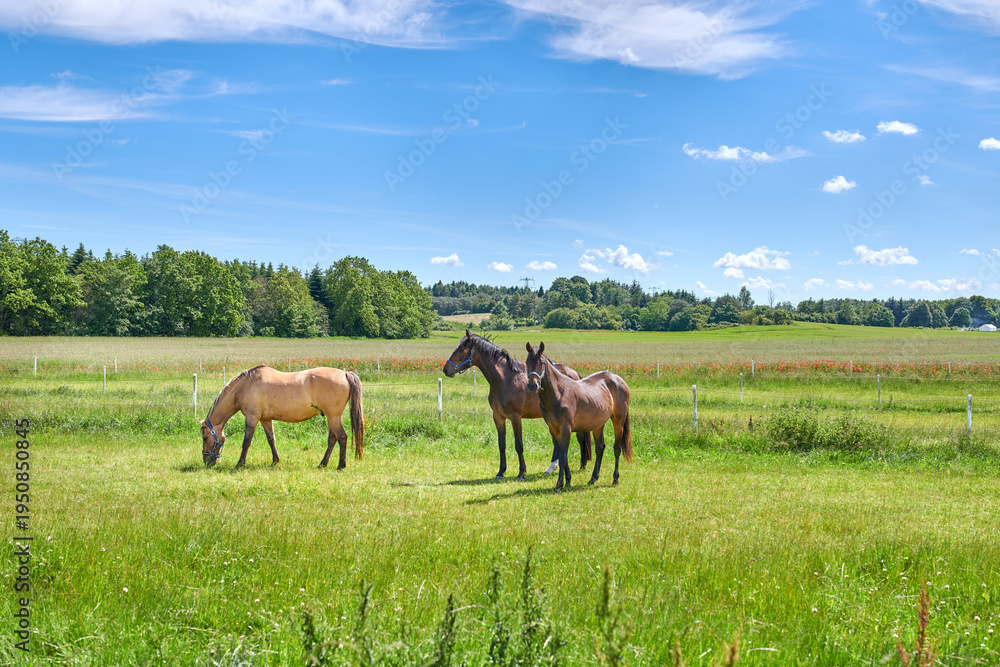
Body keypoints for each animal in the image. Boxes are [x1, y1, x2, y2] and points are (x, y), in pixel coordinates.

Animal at [198, 365, 364, 470]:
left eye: (205, 438)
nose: (206, 461)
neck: (245, 386)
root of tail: (345, 374)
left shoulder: (252, 418)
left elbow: (246, 442)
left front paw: (240, 463)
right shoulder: (265, 419)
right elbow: (271, 439)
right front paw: (275, 461)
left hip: (333, 417)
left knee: (342, 437)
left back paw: (341, 465)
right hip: (330, 417)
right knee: (332, 439)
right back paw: (322, 464)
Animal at [443, 330, 592, 480]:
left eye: (462, 349)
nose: (446, 369)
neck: (505, 379)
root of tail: (574, 374)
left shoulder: (516, 418)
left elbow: (518, 445)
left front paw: (521, 472)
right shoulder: (498, 417)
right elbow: (501, 444)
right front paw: (501, 472)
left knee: (580, 438)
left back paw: (582, 465)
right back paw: (552, 467)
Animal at [524, 342, 632, 491]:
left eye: (541, 362)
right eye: (527, 361)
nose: (532, 385)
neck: (559, 393)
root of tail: (618, 379)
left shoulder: (566, 429)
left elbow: (563, 457)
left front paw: (559, 484)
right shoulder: (554, 430)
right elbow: (562, 455)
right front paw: (568, 481)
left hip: (618, 422)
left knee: (617, 448)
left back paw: (615, 478)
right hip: (598, 424)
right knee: (600, 447)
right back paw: (593, 478)